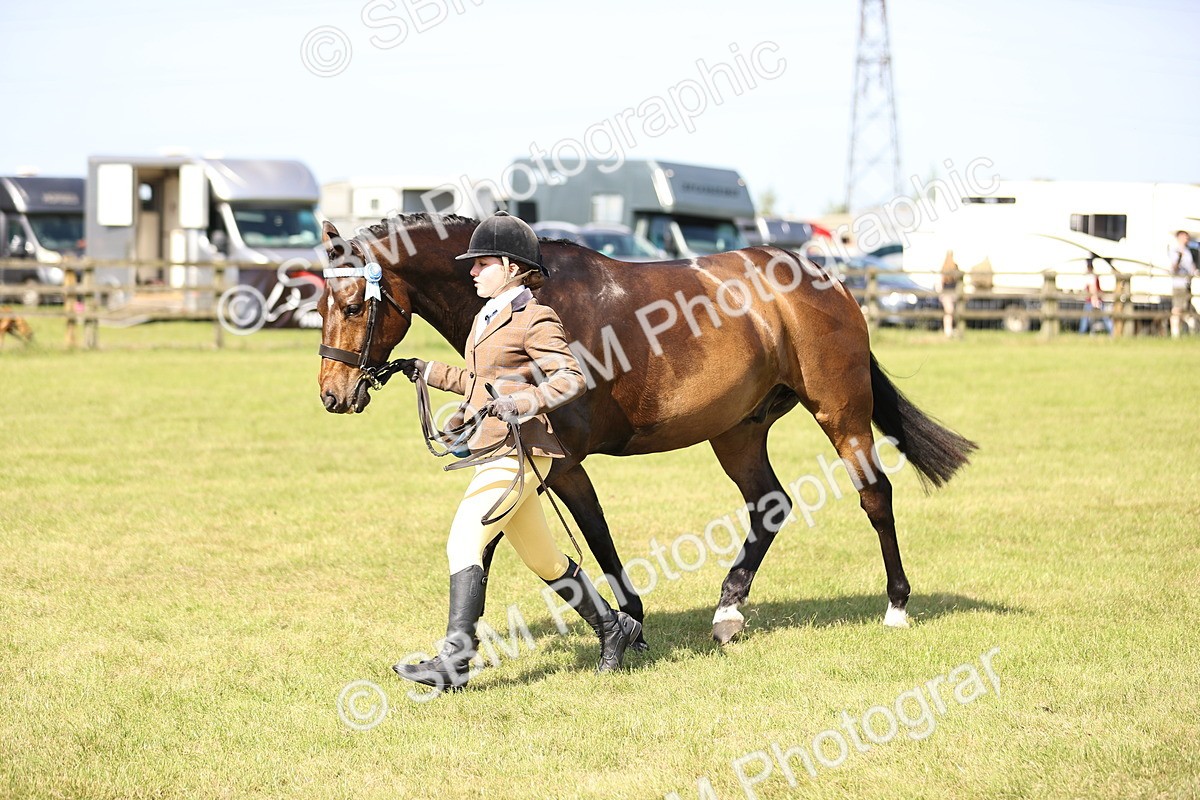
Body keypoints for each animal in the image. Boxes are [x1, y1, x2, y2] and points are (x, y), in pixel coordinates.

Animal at [317, 213, 977, 645]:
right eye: (317, 304)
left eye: (351, 306)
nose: (333, 394)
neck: (530, 293)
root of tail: (828, 279)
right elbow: (496, 542)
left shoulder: (560, 461)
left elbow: (594, 537)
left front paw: (629, 622)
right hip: (737, 430)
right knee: (770, 505)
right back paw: (728, 613)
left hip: (840, 412)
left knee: (875, 495)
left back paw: (896, 605)